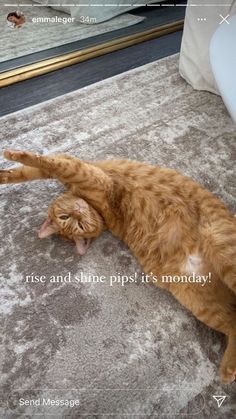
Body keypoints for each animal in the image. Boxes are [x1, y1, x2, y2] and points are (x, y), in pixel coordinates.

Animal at [0, 151, 236, 384]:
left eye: (70, 220)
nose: (78, 211)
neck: (93, 206)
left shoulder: (79, 169)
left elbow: (39, 166)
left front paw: (9, 164)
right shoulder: (84, 174)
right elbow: (42, 167)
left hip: (219, 245)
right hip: (197, 298)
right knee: (232, 322)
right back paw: (228, 370)